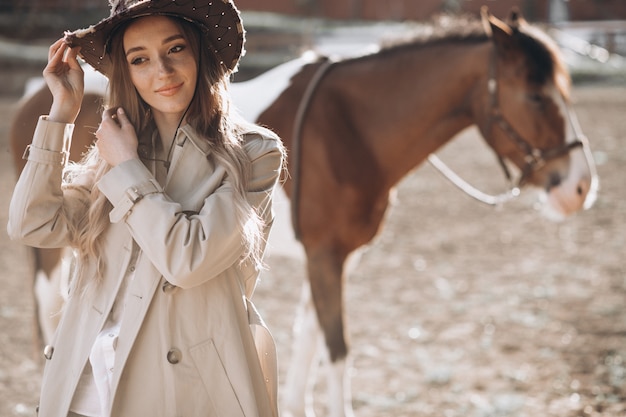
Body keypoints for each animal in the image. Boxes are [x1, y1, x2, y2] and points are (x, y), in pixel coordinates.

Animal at [8, 8, 596, 416]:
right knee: (47, 298)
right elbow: (335, 349)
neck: (351, 127)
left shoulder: (335, 257)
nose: (580, 187)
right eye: (536, 95)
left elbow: (310, 339)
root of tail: (32, 93)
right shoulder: (325, 255)